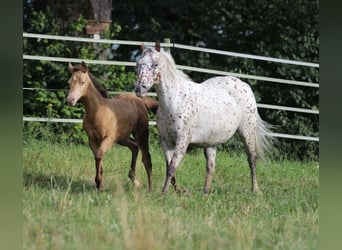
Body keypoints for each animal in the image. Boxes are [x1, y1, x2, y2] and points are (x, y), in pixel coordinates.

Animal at [135, 42, 274, 196]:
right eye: (138, 64)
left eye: (155, 64)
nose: (139, 89)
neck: (175, 100)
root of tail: (244, 85)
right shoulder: (166, 142)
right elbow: (170, 167)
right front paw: (179, 191)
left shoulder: (182, 141)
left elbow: (172, 168)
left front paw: (164, 194)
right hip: (211, 143)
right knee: (211, 166)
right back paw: (205, 193)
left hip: (247, 133)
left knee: (252, 160)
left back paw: (255, 190)